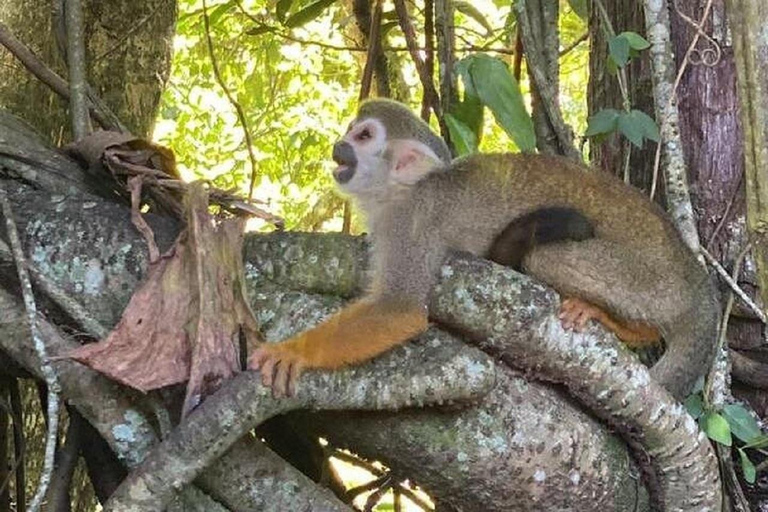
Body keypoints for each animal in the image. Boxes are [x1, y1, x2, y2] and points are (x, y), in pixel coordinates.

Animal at [250, 98, 719, 400]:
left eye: (363, 136)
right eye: (351, 131)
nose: (338, 146)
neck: (404, 190)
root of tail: (698, 282)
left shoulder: (412, 222)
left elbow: (400, 309)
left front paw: (295, 352)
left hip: (649, 279)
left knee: (548, 255)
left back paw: (626, 325)